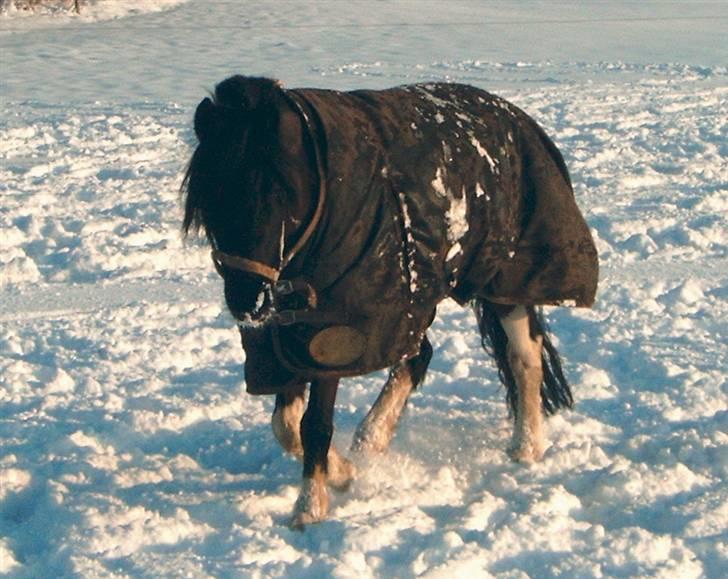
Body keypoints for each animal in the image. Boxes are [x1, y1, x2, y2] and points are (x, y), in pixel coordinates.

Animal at [182, 75, 596, 528]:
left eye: (280, 196)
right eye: (209, 201)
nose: (247, 302)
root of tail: (515, 116)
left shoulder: (332, 333)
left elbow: (313, 425)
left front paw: (310, 506)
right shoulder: (287, 335)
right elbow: (285, 425)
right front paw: (343, 472)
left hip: (504, 278)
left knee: (524, 356)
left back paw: (526, 447)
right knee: (420, 354)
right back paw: (372, 437)